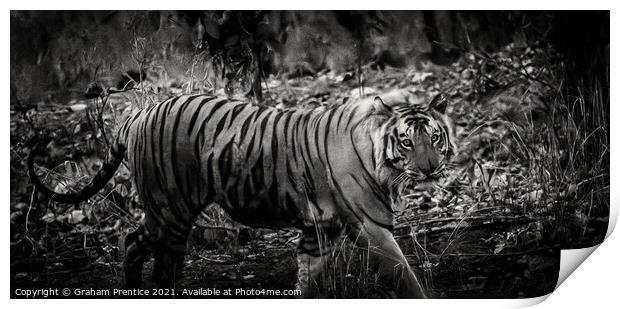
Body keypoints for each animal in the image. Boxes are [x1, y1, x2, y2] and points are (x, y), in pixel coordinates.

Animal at [29, 92, 456, 298]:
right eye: (407, 141)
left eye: (434, 137)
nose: (430, 169)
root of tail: (139, 113)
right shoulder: (370, 225)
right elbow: (405, 275)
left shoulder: (321, 230)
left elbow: (308, 279)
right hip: (171, 208)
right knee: (140, 247)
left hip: (172, 216)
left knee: (148, 252)